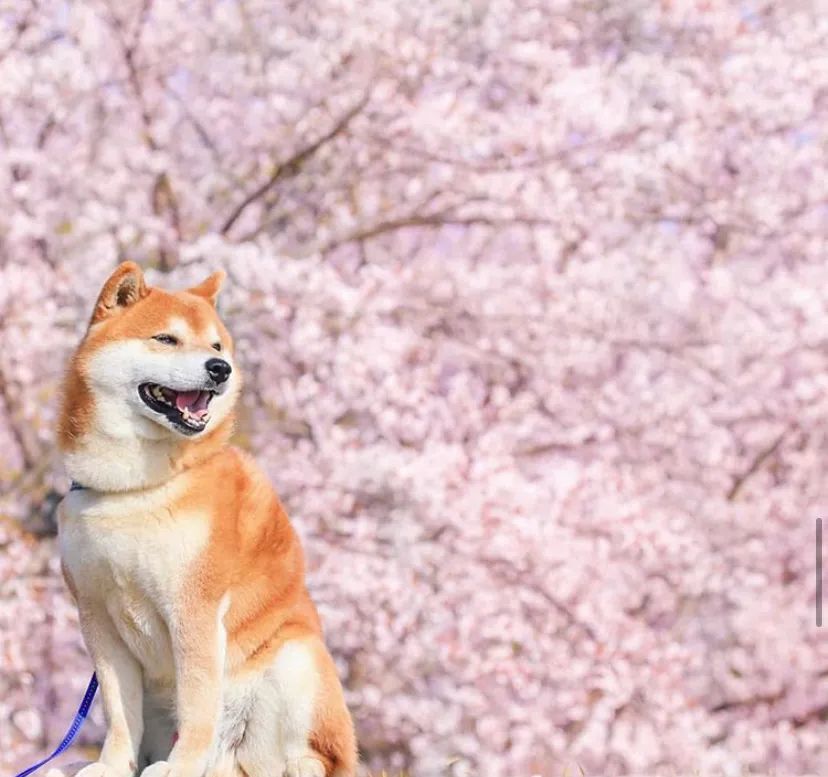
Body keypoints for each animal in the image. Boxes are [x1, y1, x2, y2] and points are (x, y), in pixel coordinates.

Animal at [55, 264, 358, 776]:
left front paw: (179, 767)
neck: (135, 489)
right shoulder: (97, 617)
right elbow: (119, 712)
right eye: (166, 338)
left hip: (296, 661)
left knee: (319, 756)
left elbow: (196, 706)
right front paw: (111, 766)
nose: (221, 369)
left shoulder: (193, 608)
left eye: (217, 346)